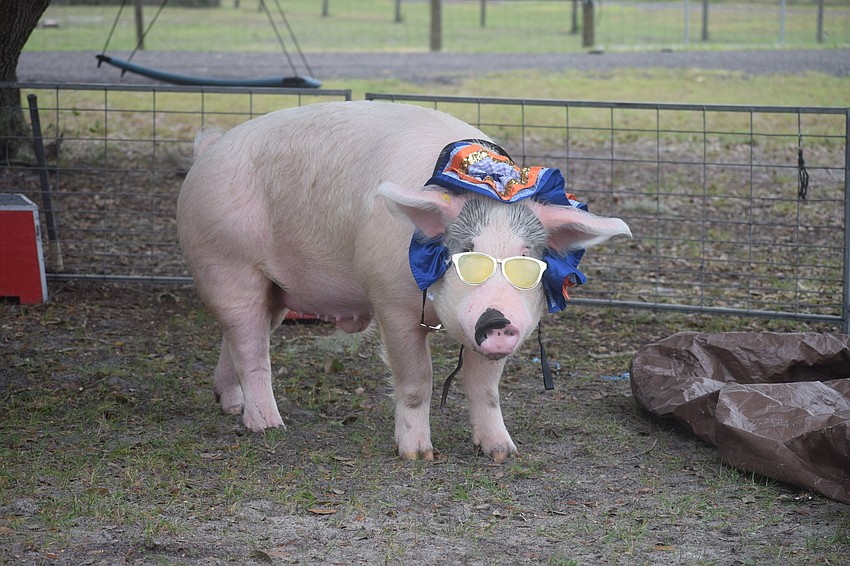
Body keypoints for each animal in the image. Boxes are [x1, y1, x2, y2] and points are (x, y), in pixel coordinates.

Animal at [177, 100, 630, 462]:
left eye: (527, 260)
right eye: (465, 253)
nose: (497, 320)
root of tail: (209, 151)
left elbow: (485, 388)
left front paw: (503, 453)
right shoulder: (390, 301)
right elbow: (416, 380)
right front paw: (418, 455)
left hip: (273, 289)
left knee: (240, 337)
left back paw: (230, 405)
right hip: (227, 262)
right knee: (252, 347)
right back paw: (268, 425)